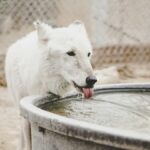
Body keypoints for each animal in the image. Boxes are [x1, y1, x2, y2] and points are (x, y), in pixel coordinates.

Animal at [4, 21, 97, 150]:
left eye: (88, 54)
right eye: (70, 53)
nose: (93, 80)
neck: (48, 83)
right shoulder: (26, 115)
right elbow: (28, 144)